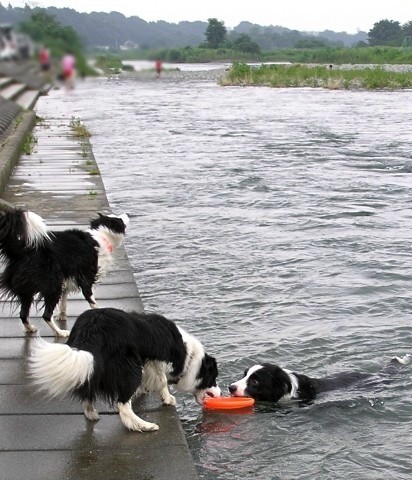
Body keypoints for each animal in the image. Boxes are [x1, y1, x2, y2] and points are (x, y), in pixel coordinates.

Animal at [0, 210, 129, 338]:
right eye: (119, 220)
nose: (127, 214)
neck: (101, 235)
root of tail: (20, 252)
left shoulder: (66, 282)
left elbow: (63, 302)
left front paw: (62, 316)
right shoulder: (86, 278)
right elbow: (92, 300)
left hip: (27, 290)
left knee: (23, 314)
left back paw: (30, 328)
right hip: (52, 285)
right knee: (46, 315)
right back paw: (60, 332)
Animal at [30, 310, 220, 434]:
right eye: (214, 378)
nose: (219, 393)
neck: (189, 355)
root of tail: (91, 329)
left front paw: (143, 391)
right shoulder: (156, 359)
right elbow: (162, 380)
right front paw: (168, 398)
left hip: (91, 365)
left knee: (88, 392)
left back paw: (92, 414)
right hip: (130, 366)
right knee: (122, 405)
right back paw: (143, 425)